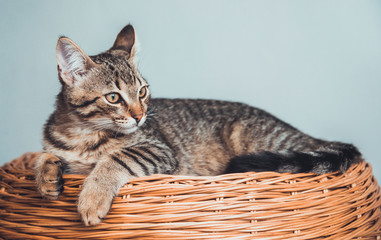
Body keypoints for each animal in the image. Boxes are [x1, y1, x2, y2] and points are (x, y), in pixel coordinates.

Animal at [34, 23, 360, 225]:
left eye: (142, 91)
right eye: (113, 97)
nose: (140, 116)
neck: (82, 134)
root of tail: (307, 136)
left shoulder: (158, 149)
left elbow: (116, 159)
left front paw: (92, 198)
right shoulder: (58, 148)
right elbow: (42, 156)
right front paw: (47, 178)